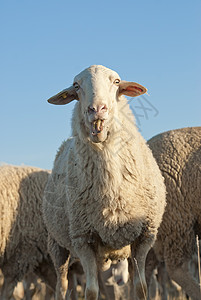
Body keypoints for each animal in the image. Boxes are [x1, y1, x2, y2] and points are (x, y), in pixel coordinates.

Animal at [42, 64, 166, 298]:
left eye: (116, 82)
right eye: (76, 86)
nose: (97, 109)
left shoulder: (145, 236)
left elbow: (141, 288)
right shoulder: (83, 238)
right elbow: (91, 291)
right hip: (57, 244)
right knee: (62, 285)